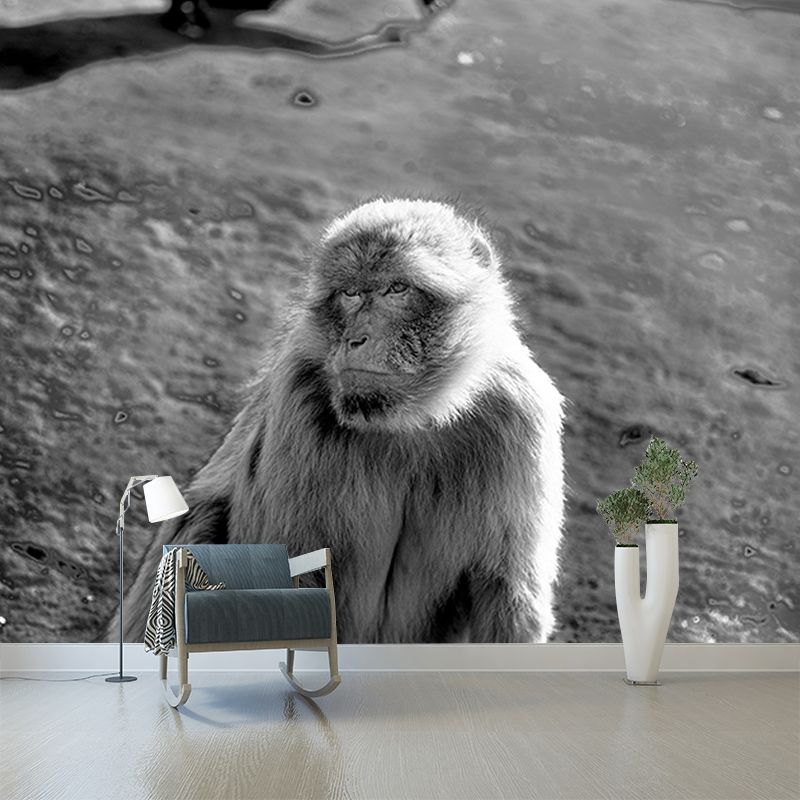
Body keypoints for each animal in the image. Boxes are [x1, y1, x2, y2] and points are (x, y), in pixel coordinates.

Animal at [111, 198, 565, 644]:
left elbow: (507, 592)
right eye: (350, 293)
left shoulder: (519, 416)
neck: (409, 421)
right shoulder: (297, 399)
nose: (355, 339)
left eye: (397, 288)